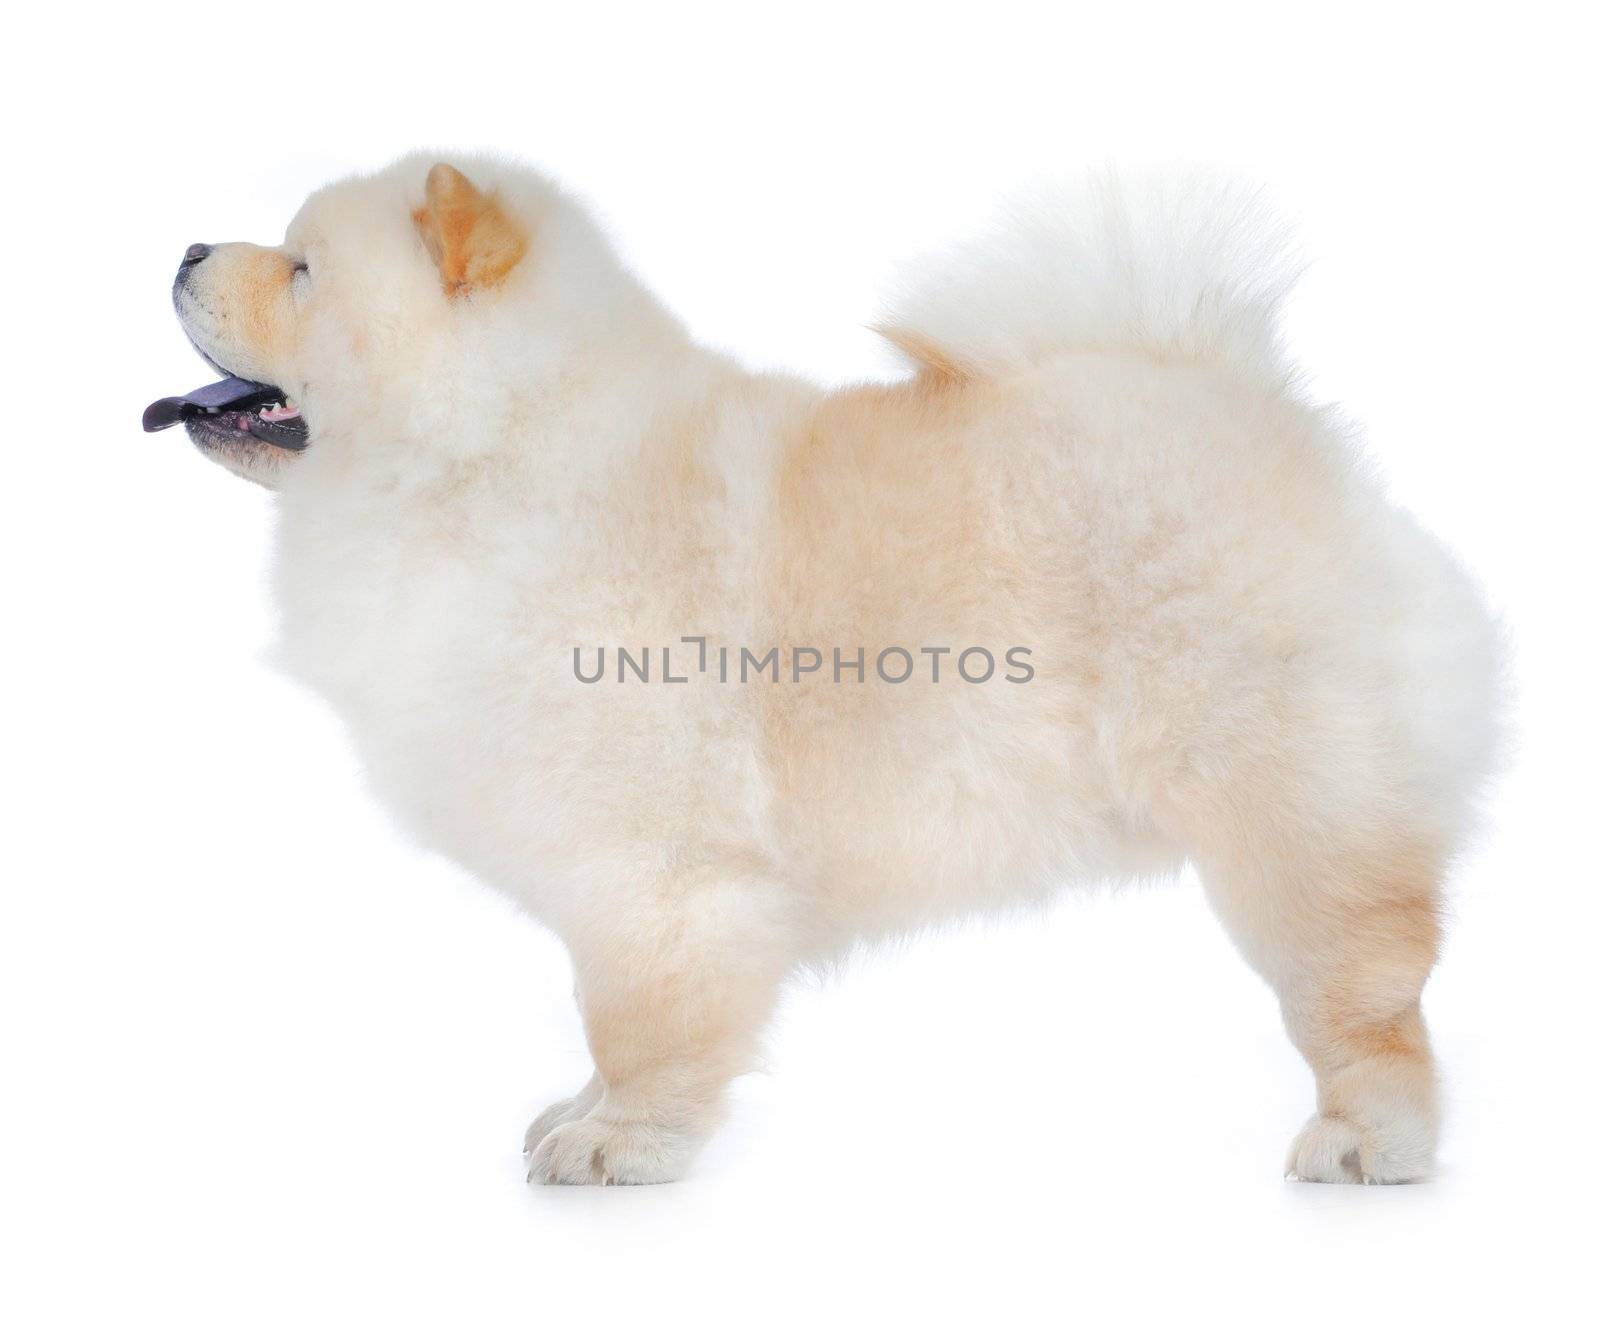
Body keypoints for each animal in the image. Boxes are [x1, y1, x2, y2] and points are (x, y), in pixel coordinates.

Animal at [147, 154, 1497, 1183]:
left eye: (302, 269)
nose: (187, 247)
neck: (487, 457)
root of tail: (1268, 421)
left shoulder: (651, 874)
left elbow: (637, 1026)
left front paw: (618, 1145)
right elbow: (601, 1022)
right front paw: (579, 1113)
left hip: (1292, 825)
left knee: (1368, 999)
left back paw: (1366, 1145)